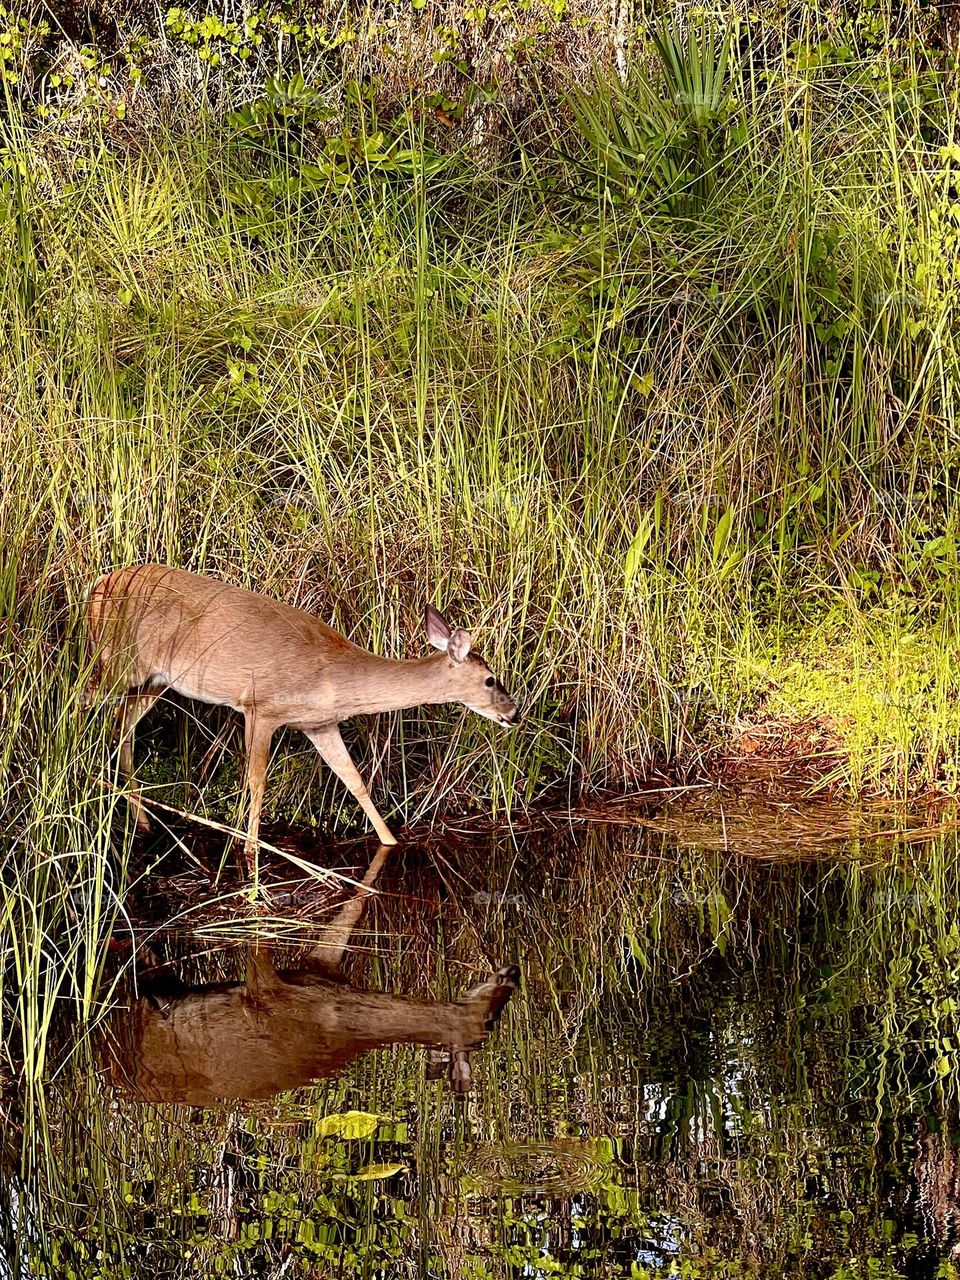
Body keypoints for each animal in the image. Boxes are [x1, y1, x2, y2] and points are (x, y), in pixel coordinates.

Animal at [86, 564, 519, 868]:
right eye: (490, 679)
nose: (513, 713)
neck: (334, 675)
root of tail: (99, 586)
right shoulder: (260, 708)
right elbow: (257, 782)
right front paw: (249, 853)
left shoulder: (319, 723)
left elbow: (354, 780)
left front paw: (391, 842)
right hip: (117, 664)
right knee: (86, 707)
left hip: (153, 682)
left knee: (122, 730)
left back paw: (141, 822)